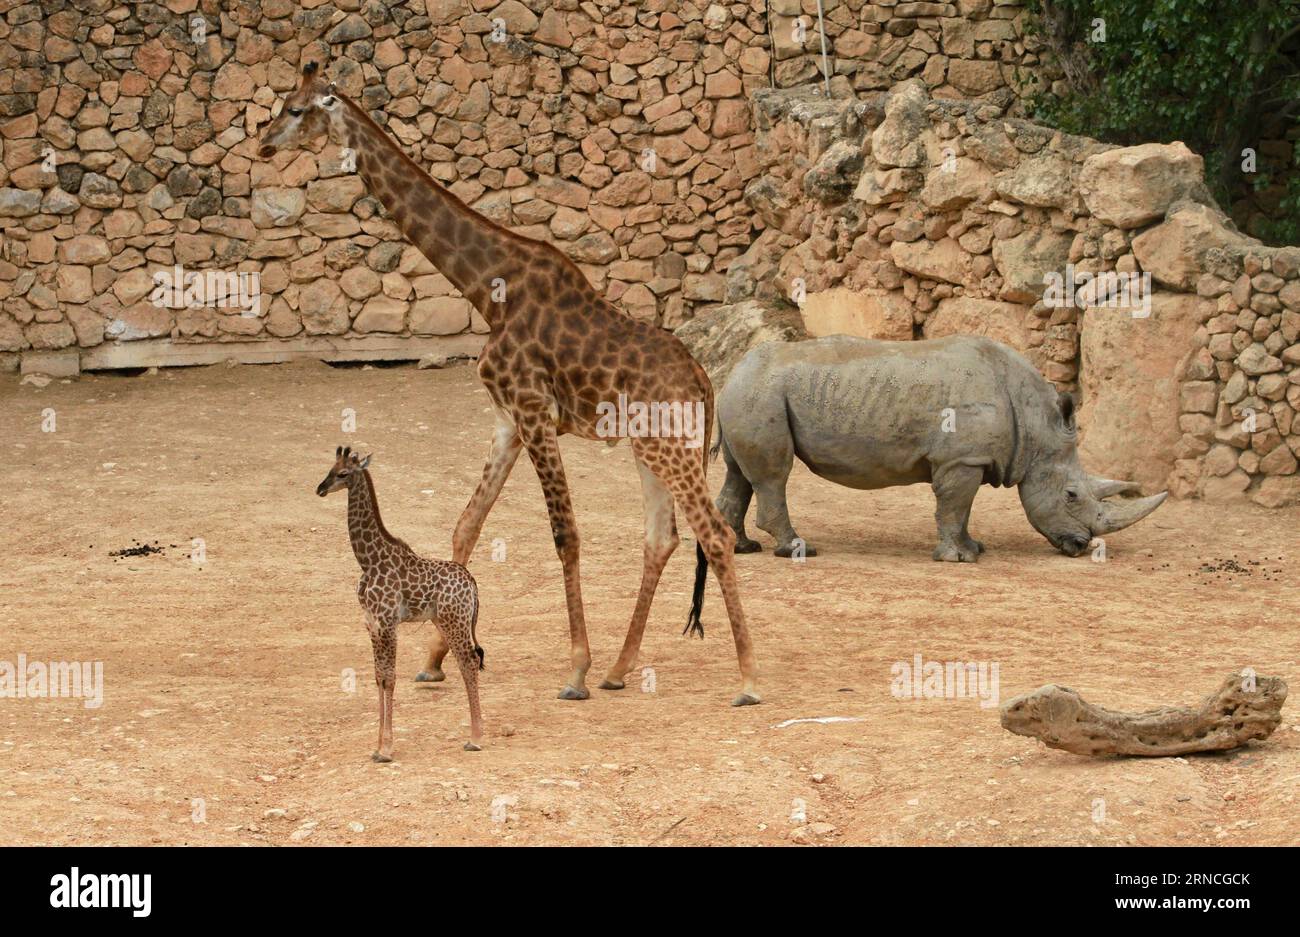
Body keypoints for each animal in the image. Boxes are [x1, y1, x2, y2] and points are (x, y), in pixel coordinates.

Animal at [263, 61, 759, 706]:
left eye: (297, 110)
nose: (264, 144)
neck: (487, 288)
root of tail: (703, 380)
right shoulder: (507, 420)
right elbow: (466, 525)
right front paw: (436, 659)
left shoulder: (533, 411)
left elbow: (565, 534)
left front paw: (574, 670)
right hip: (650, 448)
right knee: (663, 538)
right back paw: (620, 668)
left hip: (671, 449)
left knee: (715, 534)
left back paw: (746, 678)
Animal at [317, 446, 485, 759]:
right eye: (329, 469)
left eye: (343, 473)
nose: (320, 488)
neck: (368, 560)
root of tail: (473, 584)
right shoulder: (371, 625)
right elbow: (378, 677)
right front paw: (378, 747)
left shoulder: (388, 623)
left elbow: (390, 678)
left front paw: (386, 749)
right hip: (444, 620)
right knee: (467, 661)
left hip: (454, 621)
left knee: (469, 662)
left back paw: (476, 738)